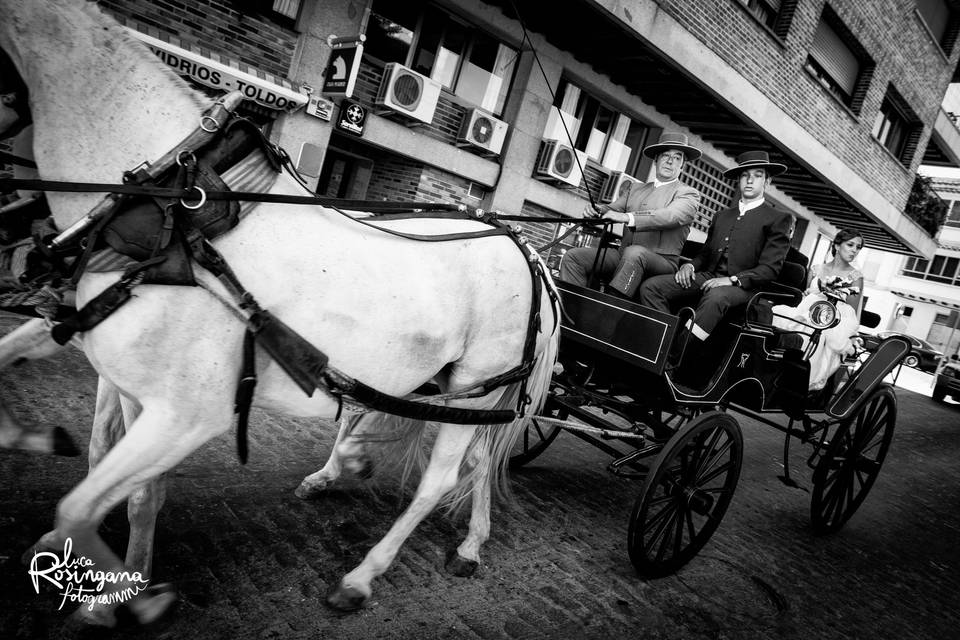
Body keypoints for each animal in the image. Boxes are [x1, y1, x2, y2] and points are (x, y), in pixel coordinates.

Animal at [0, 0, 560, 632]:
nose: (24, 250)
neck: (174, 211)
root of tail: (524, 248)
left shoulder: (185, 414)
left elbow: (88, 504)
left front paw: (130, 594)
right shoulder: (114, 366)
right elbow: (113, 471)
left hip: (477, 384)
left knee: (441, 477)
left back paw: (360, 578)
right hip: (454, 389)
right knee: (476, 460)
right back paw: (463, 538)